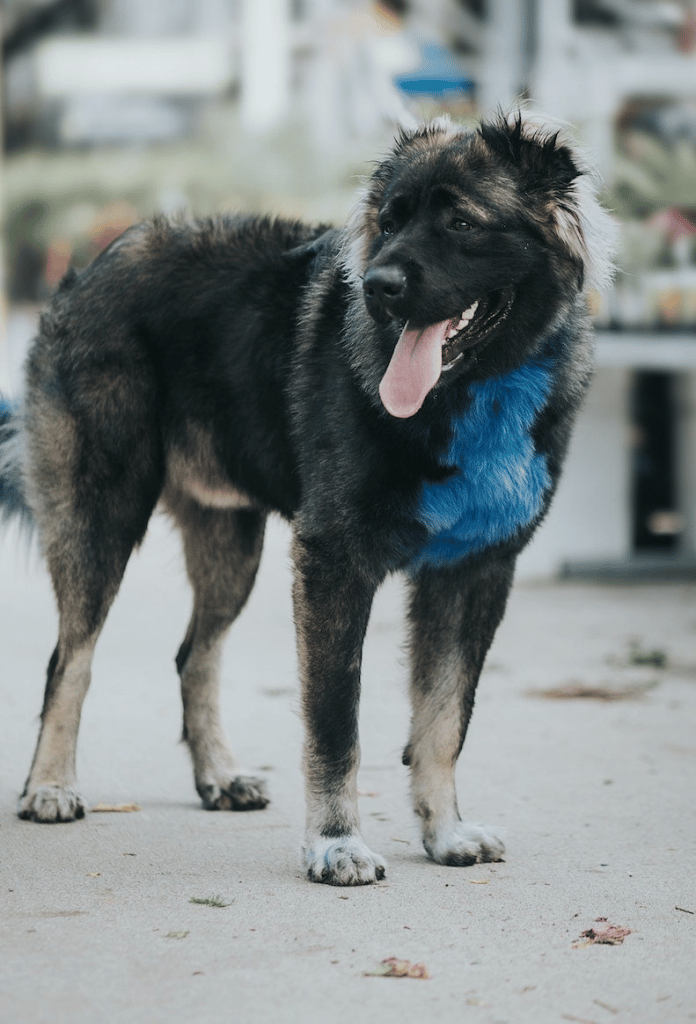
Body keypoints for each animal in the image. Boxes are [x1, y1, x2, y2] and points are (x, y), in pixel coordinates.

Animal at [0, 116, 610, 884]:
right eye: (389, 222)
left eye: (462, 223)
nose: (377, 287)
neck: (474, 390)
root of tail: (96, 262)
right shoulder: (334, 566)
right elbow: (335, 723)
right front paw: (336, 843)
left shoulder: (471, 576)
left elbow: (445, 719)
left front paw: (445, 832)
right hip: (101, 518)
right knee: (70, 659)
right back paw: (50, 785)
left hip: (232, 549)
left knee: (194, 655)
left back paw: (218, 777)